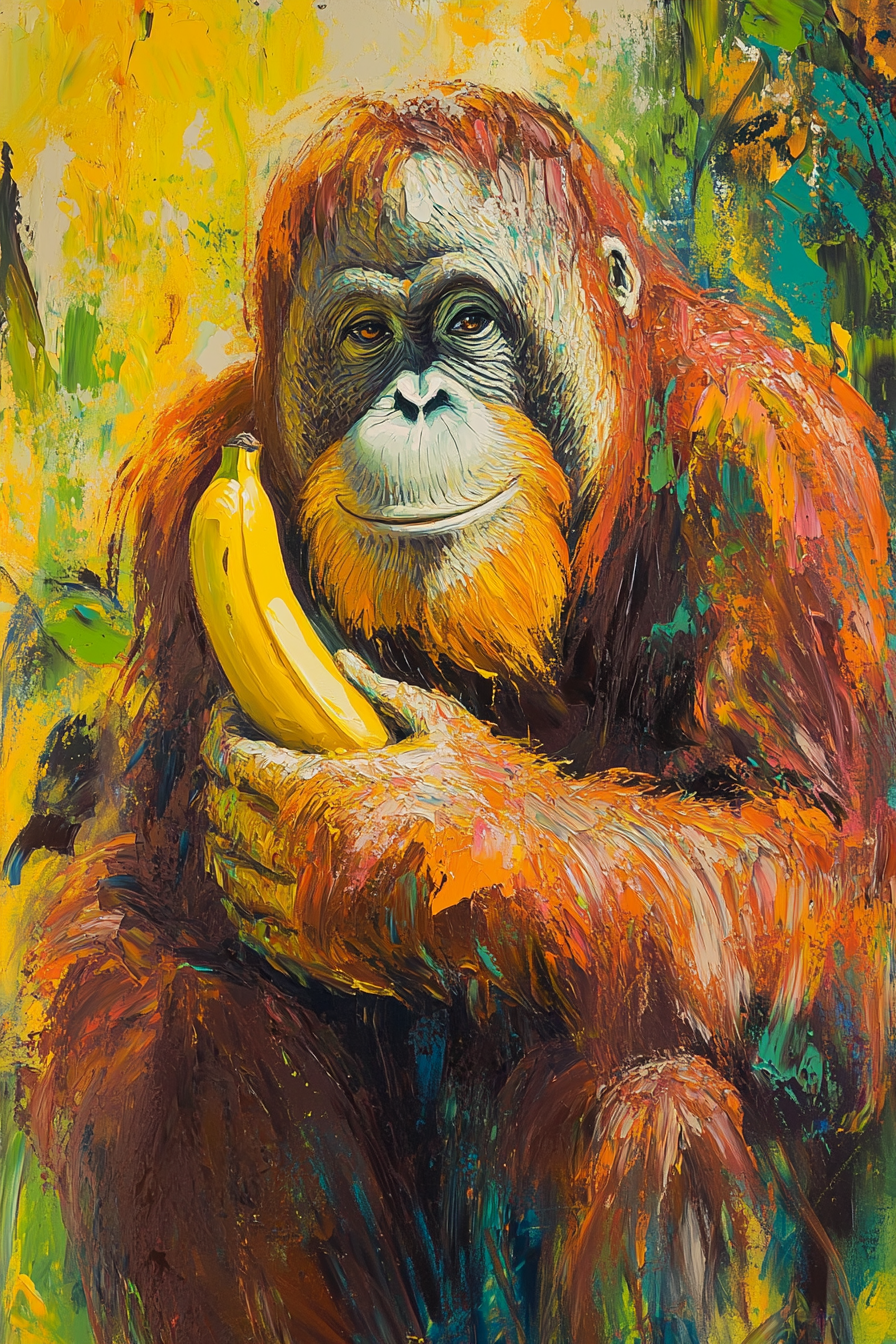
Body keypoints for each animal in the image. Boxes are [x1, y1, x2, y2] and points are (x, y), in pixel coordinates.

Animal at [17, 83, 896, 1344]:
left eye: (469, 320)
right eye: (365, 335)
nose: (417, 395)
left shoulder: (777, 471)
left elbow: (828, 889)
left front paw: (394, 833)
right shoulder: (190, 487)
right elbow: (136, 917)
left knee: (653, 1083)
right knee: (194, 1027)